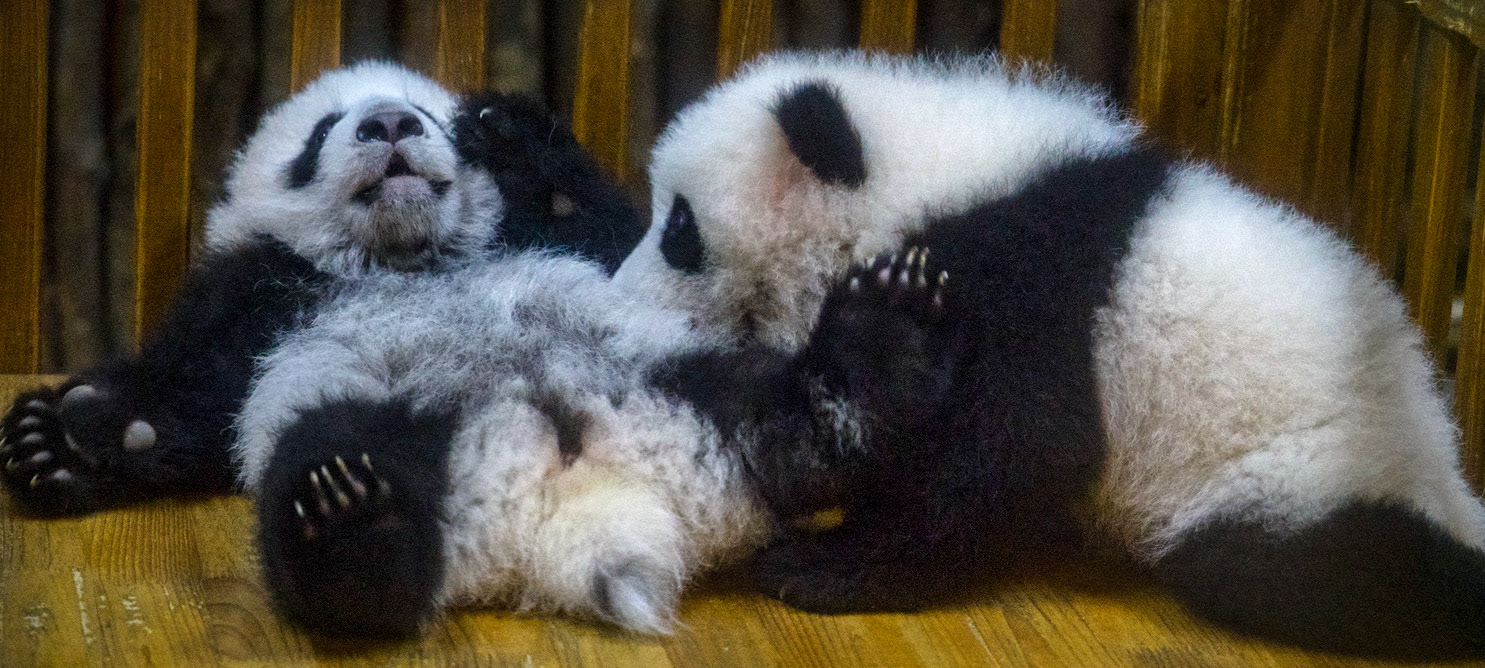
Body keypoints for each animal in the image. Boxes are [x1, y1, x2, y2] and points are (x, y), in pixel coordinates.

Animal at [0, 61, 644, 516]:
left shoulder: (567, 245)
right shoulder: (264, 297)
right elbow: (198, 381)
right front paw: (68, 440)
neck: (397, 262)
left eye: (426, 115)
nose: (389, 122)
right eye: (322, 132)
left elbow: (611, 238)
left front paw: (509, 135)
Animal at [613, 51, 1485, 659]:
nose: (625, 295)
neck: (922, 174)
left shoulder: (1033, 284)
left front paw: (828, 566)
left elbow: (1019, 446)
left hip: (1297, 471)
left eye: (681, 229)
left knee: (1309, 570)